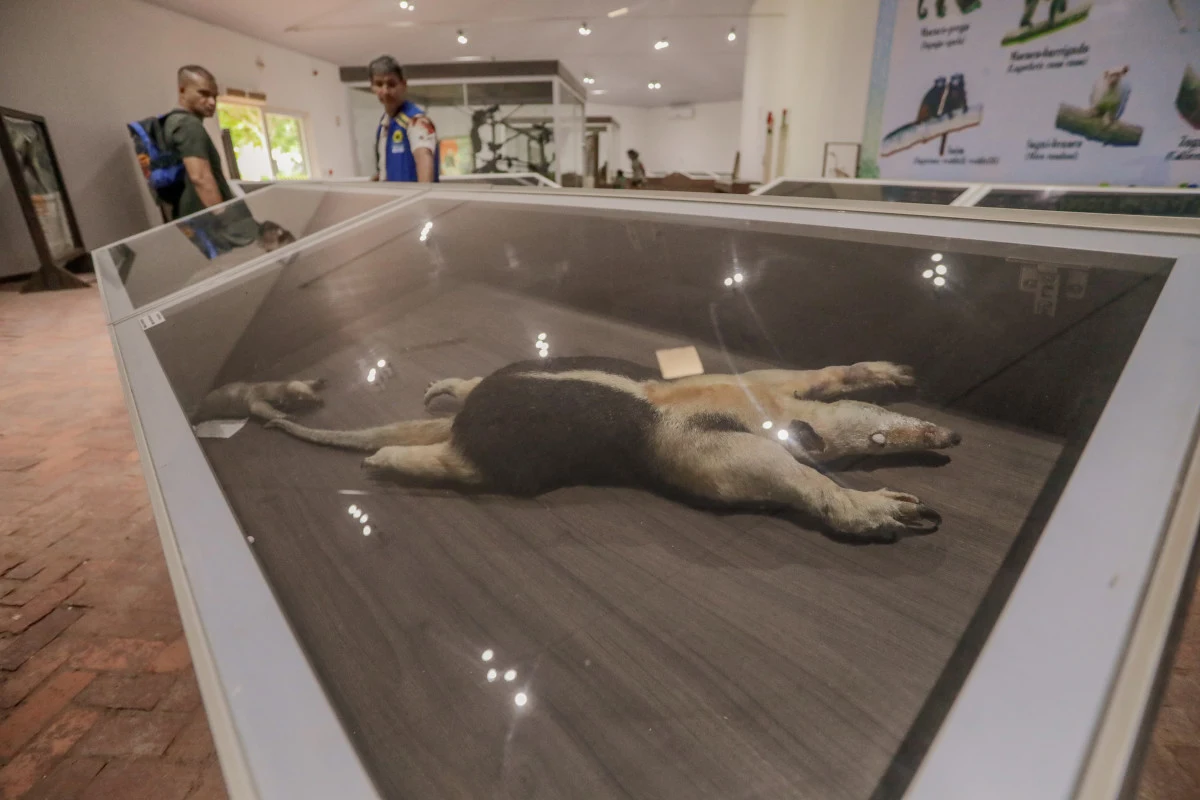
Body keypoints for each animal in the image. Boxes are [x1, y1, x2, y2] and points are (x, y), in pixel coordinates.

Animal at [264, 357, 961, 538]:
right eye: (877, 437)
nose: (950, 436)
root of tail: (465, 421)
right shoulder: (705, 449)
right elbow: (777, 473)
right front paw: (884, 507)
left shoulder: (770, 384)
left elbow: (827, 374)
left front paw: (890, 374)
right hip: (504, 455)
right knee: (460, 468)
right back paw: (390, 458)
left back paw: (448, 389)